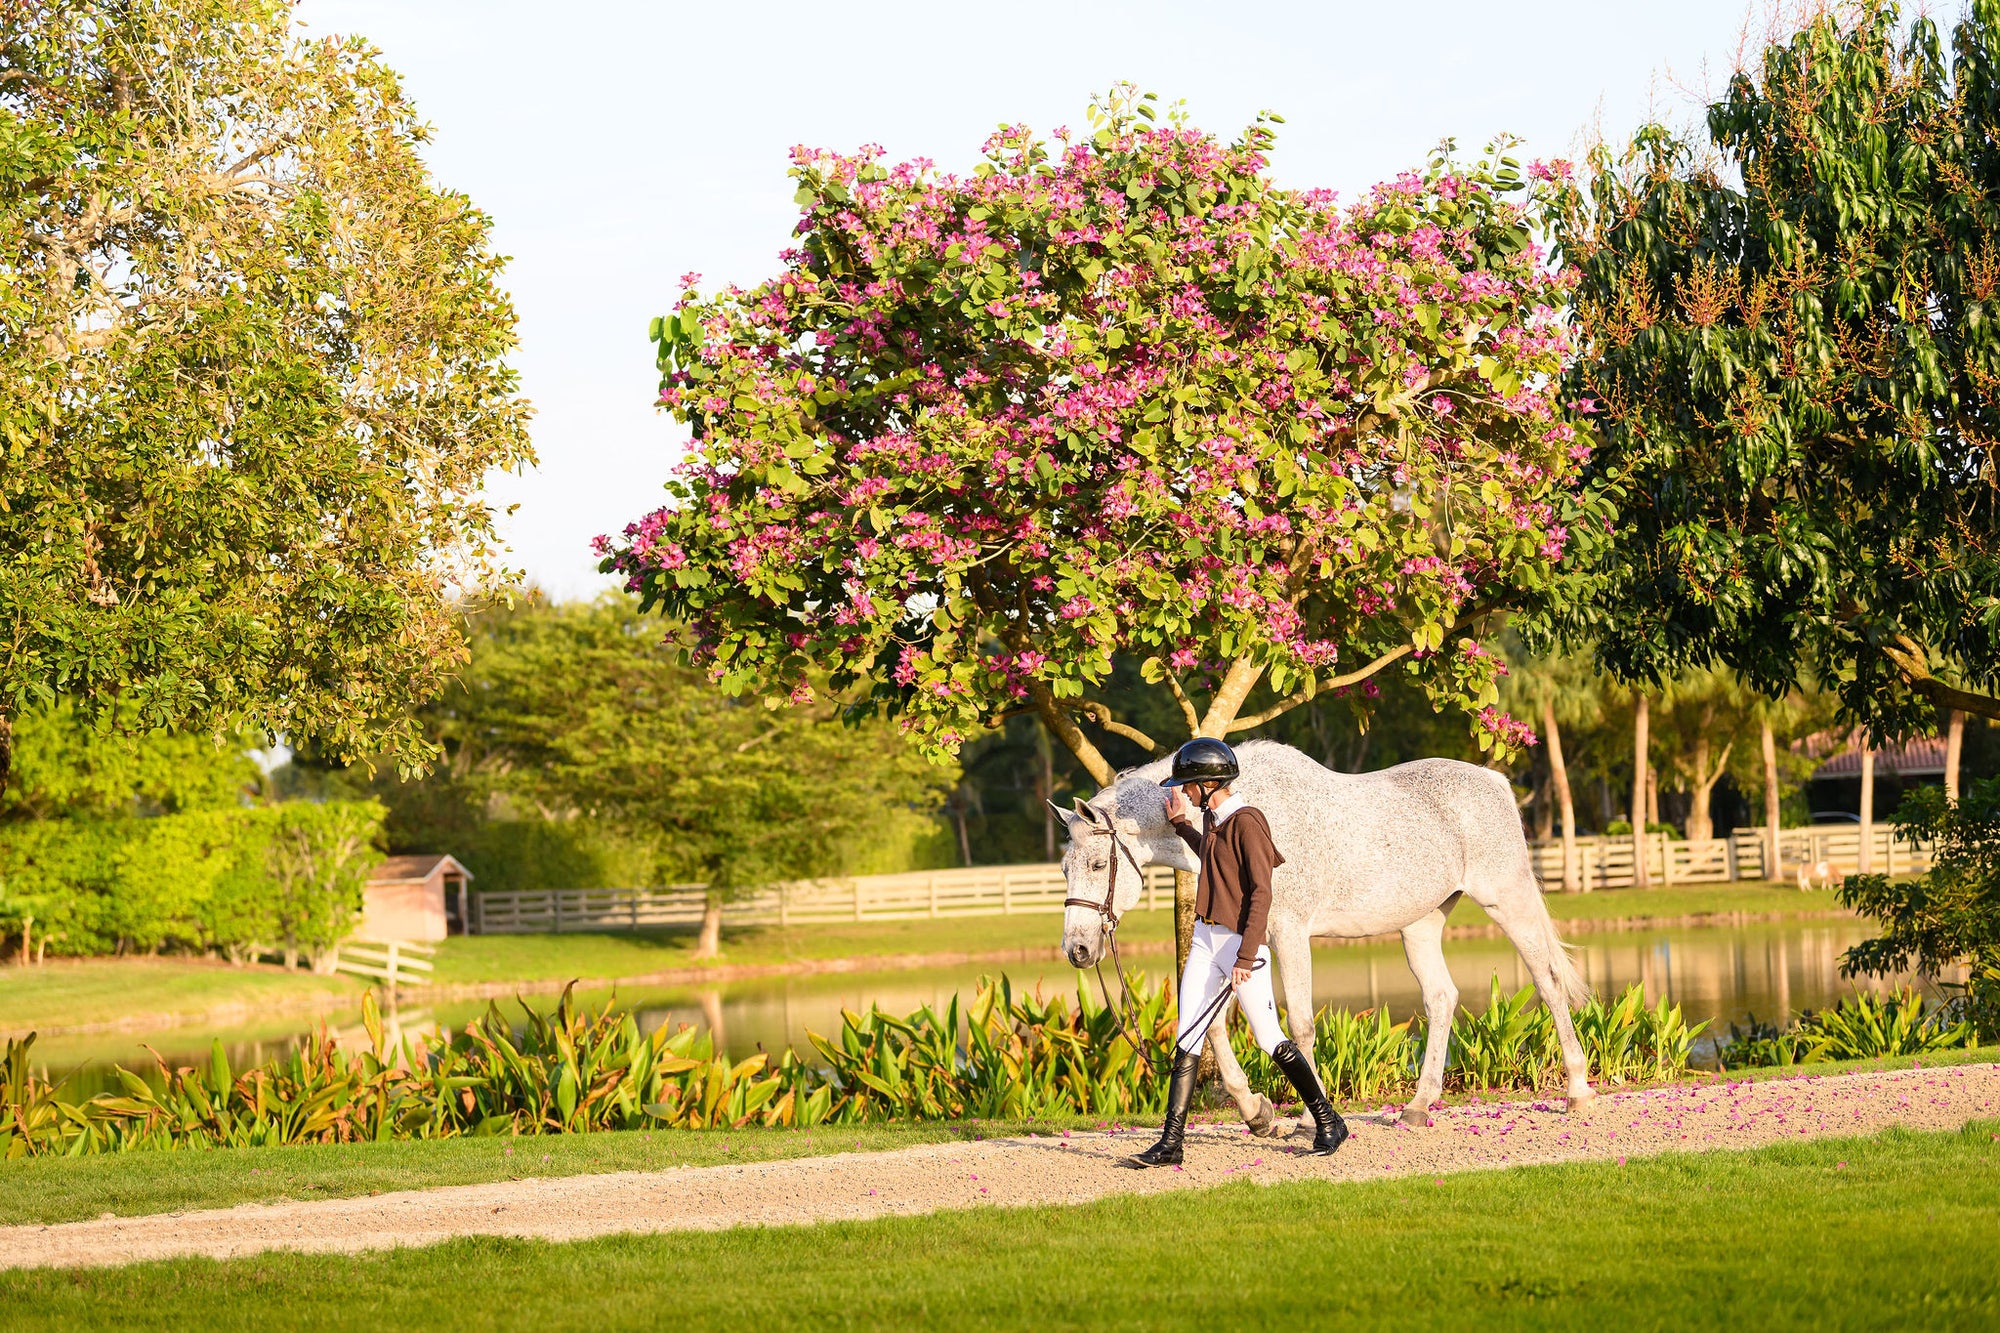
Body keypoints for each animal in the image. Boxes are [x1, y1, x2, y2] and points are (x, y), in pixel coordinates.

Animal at [1048, 732, 1592, 1128]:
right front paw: (1257, 1112)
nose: (1077, 950)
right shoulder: (1237, 942)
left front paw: (1311, 1120)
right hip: (1421, 925)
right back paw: (1418, 1107)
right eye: (1064, 867)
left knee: (1547, 981)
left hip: (1507, 902)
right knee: (1441, 998)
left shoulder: (1288, 935)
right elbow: (1212, 1024)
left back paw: (1578, 1092)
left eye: (1098, 864)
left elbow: (1302, 1025)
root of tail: (1495, 783)